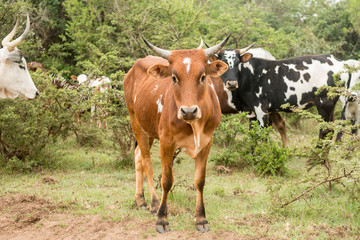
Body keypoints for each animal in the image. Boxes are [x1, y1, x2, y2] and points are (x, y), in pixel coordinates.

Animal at [124, 35, 229, 232]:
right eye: (174, 77)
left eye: (203, 77)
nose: (188, 111)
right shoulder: (166, 142)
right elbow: (166, 180)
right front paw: (162, 219)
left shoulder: (207, 142)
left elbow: (200, 180)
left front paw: (201, 218)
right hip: (136, 122)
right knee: (147, 161)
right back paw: (154, 202)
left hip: (149, 130)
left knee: (138, 156)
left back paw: (140, 199)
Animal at [217, 50, 346, 139]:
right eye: (222, 63)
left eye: (237, 63)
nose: (232, 83)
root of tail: (337, 61)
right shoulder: (251, 111)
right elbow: (253, 136)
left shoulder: (261, 109)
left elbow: (262, 135)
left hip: (324, 103)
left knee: (325, 131)